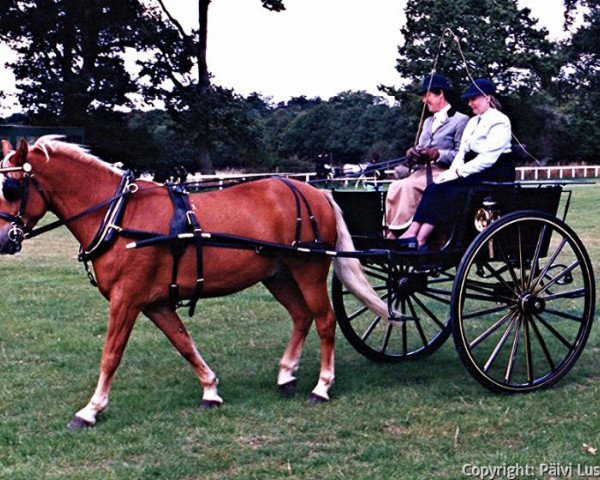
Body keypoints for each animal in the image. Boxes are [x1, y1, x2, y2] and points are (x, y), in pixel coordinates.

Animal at [0, 137, 390, 430]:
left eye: (11, 186)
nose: (5, 240)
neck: (119, 217)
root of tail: (315, 192)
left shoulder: (127, 299)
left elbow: (111, 354)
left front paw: (91, 409)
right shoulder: (154, 302)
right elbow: (184, 343)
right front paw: (210, 390)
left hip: (308, 270)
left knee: (324, 320)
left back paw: (322, 386)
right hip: (276, 275)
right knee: (301, 316)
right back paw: (286, 376)